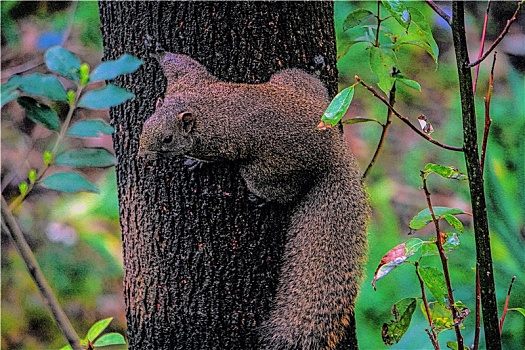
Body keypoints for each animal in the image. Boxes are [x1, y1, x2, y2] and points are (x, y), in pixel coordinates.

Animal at [137, 48, 370, 350]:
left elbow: (215, 157)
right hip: (293, 81)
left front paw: (196, 162)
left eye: (167, 139)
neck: (197, 106)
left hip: (265, 171)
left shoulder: (220, 142)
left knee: (284, 192)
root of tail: (334, 150)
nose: (142, 156)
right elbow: (182, 64)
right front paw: (157, 50)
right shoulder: (190, 81)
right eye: (144, 125)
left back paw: (262, 199)